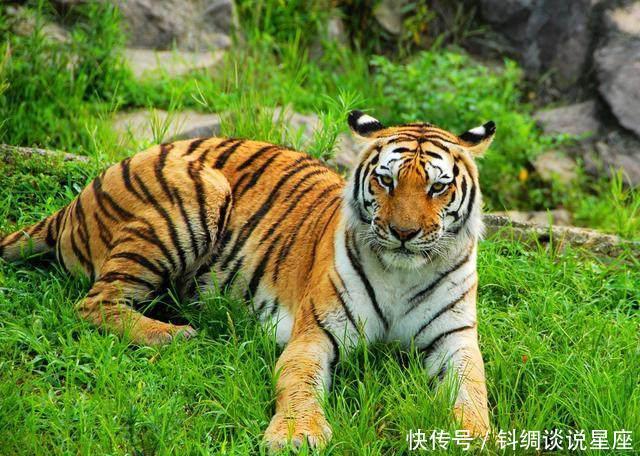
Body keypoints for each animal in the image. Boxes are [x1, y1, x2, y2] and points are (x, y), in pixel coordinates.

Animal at [0, 110, 496, 450]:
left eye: (437, 187)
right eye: (385, 181)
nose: (403, 232)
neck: (401, 273)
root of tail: (82, 193)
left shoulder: (454, 339)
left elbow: (474, 390)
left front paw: (474, 437)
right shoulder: (315, 335)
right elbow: (298, 383)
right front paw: (297, 437)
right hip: (199, 191)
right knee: (94, 303)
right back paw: (175, 335)